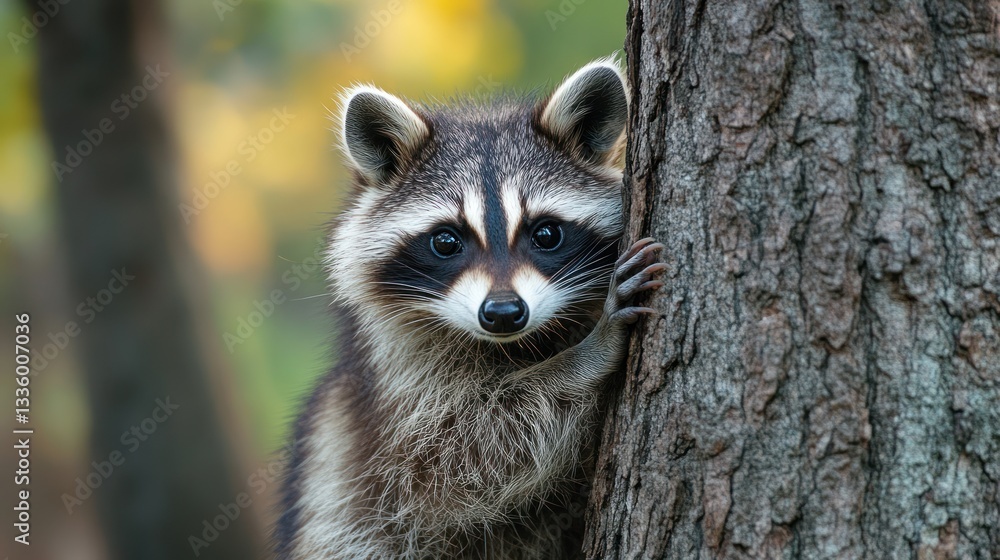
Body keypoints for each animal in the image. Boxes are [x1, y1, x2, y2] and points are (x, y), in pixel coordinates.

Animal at [277, 59, 665, 559]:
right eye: (445, 241)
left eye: (546, 234)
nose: (503, 313)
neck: (517, 343)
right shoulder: (399, 387)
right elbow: (457, 459)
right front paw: (585, 357)